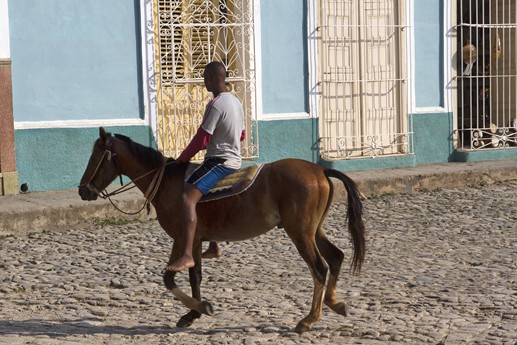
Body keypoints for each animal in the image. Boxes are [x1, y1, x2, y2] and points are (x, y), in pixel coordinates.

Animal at [78, 125, 364, 330]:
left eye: (95, 157)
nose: (83, 190)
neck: (167, 182)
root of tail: (320, 171)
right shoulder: (191, 240)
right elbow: (191, 276)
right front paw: (192, 313)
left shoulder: (183, 238)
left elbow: (172, 278)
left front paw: (201, 307)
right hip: (313, 230)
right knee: (336, 257)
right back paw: (334, 303)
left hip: (300, 232)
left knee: (319, 268)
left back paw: (309, 319)